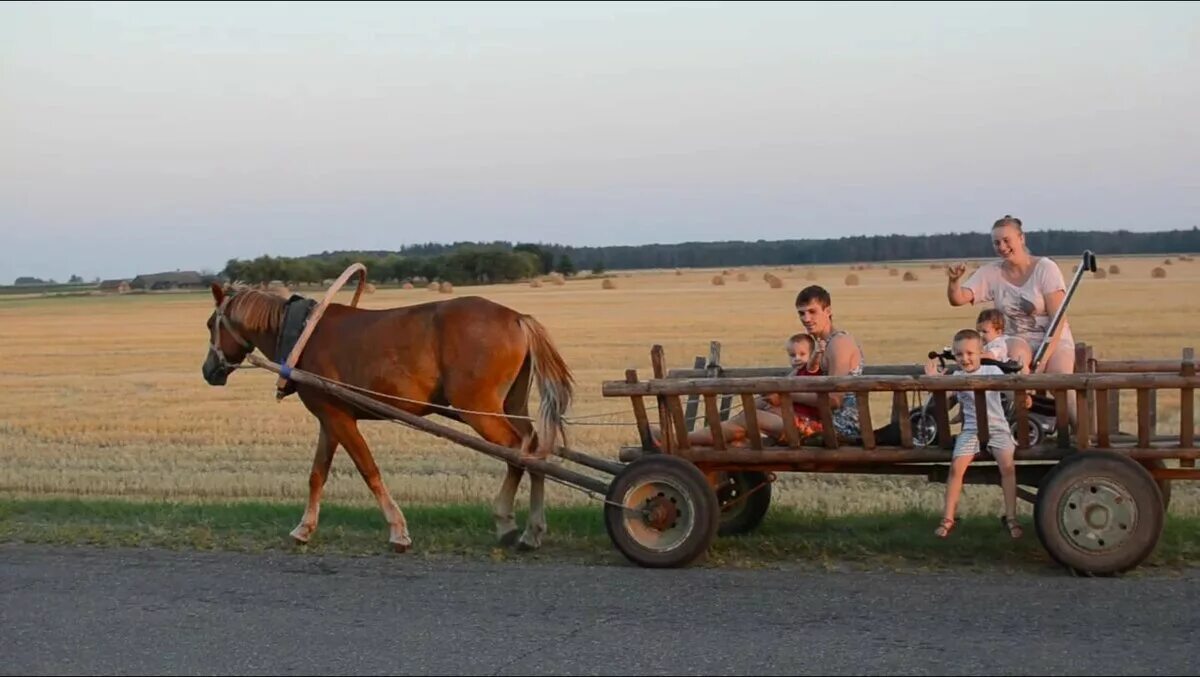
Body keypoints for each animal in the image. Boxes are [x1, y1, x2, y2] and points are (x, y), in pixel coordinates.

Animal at [199, 283, 573, 552]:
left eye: (210, 323)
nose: (208, 370)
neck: (304, 334)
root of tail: (517, 317)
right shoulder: (330, 419)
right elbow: (317, 475)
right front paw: (304, 528)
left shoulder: (339, 418)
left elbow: (369, 470)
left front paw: (398, 530)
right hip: (510, 404)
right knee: (536, 447)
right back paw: (531, 530)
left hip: (478, 409)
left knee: (518, 450)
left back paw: (510, 524)